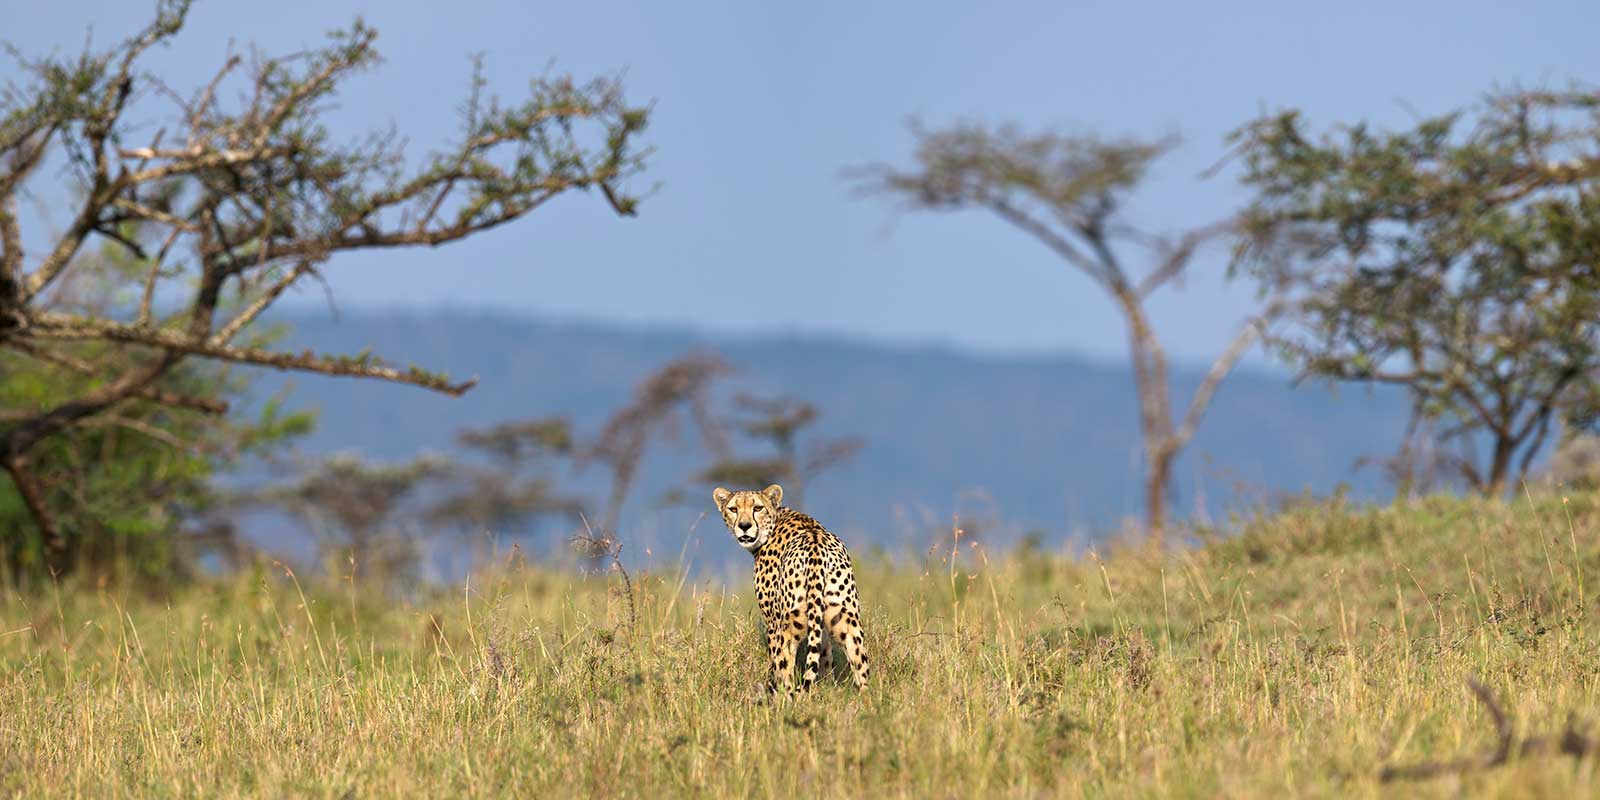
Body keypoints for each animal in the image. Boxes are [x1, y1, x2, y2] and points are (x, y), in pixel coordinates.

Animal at [713, 483, 870, 695]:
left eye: (757, 508)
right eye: (733, 509)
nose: (744, 526)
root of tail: (816, 548)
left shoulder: (772, 623)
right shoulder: (822, 622)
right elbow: (824, 654)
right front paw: (826, 687)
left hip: (787, 626)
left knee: (785, 670)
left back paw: (782, 698)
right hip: (846, 619)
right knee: (860, 666)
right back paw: (866, 699)